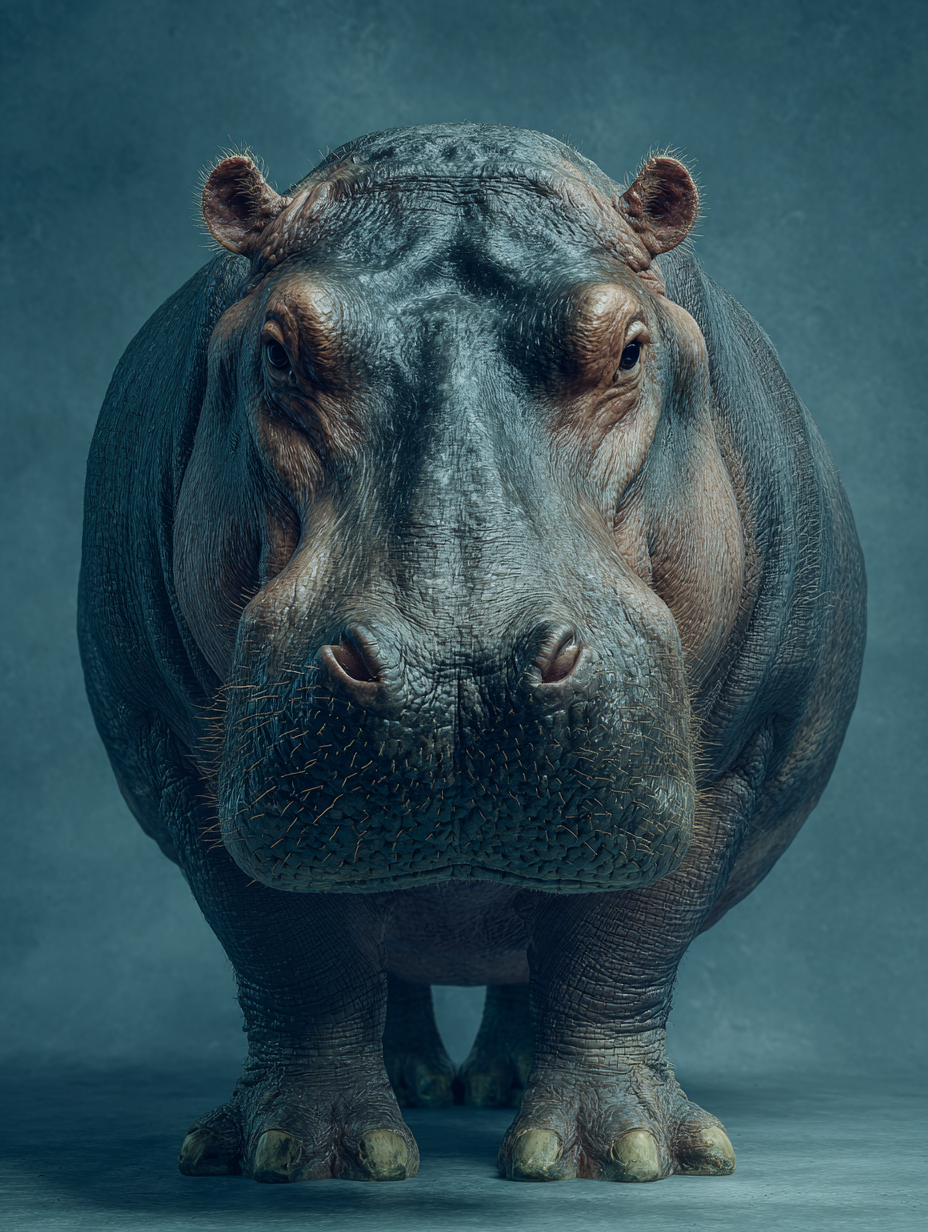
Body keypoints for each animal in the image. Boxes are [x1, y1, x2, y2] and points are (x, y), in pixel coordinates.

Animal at [79, 123, 865, 1185]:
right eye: (277, 350)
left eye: (629, 347)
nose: (458, 677)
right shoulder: (181, 753)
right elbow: (288, 949)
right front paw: (303, 1152)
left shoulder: (729, 757)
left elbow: (625, 941)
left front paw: (625, 1153)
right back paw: (416, 1086)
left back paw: (504, 1088)